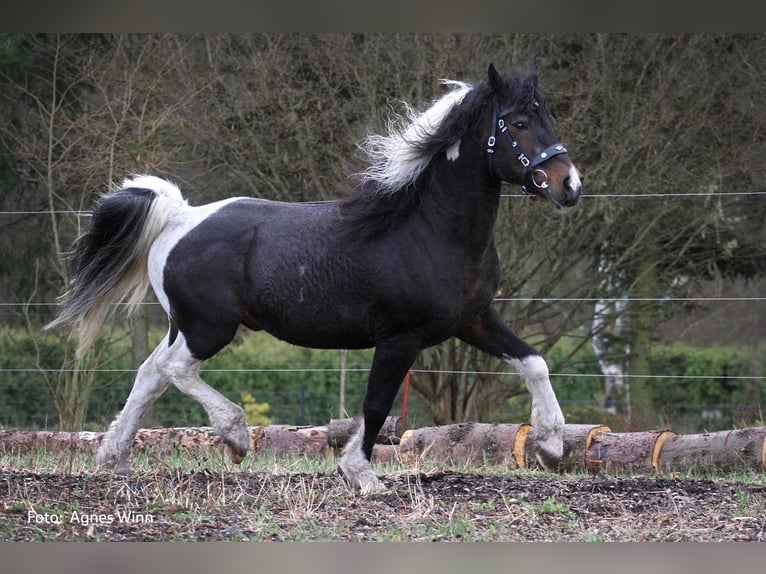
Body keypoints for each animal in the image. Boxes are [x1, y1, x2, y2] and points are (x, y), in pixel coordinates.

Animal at [46, 64, 584, 496]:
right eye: (518, 123)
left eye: (548, 118)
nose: (570, 185)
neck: (428, 230)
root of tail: (179, 216)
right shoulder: (399, 339)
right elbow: (376, 404)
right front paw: (361, 475)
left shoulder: (473, 320)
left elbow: (534, 362)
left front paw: (552, 445)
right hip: (209, 327)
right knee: (174, 369)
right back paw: (235, 436)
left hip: (186, 324)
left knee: (150, 374)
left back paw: (114, 458)